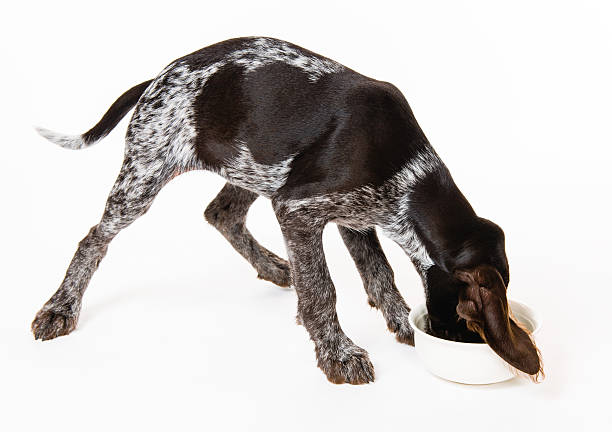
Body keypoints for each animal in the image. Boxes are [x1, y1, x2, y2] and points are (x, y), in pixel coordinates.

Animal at [31, 37, 544, 384]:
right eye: (470, 322)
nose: (458, 341)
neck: (405, 173)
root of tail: (160, 75)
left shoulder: (354, 218)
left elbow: (379, 275)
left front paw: (398, 322)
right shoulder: (299, 209)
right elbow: (323, 290)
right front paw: (338, 354)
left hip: (253, 168)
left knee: (220, 214)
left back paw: (278, 269)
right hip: (146, 173)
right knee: (94, 239)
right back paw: (60, 307)